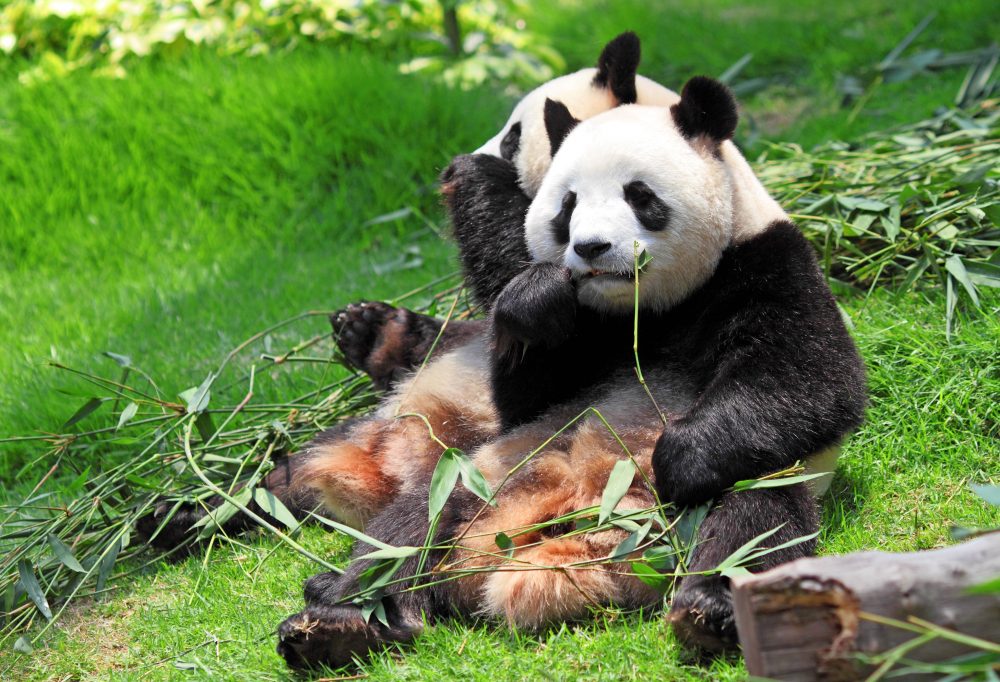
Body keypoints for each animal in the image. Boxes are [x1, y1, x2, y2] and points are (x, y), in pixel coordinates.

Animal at [264, 76, 867, 667]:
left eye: (639, 195)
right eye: (567, 205)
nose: (591, 247)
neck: (644, 311)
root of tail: (576, 540)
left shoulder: (764, 262)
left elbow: (810, 383)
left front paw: (676, 458)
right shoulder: (582, 338)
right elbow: (524, 393)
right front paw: (537, 297)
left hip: (744, 490)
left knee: (755, 521)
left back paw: (709, 610)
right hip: (484, 474)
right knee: (406, 533)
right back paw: (342, 624)